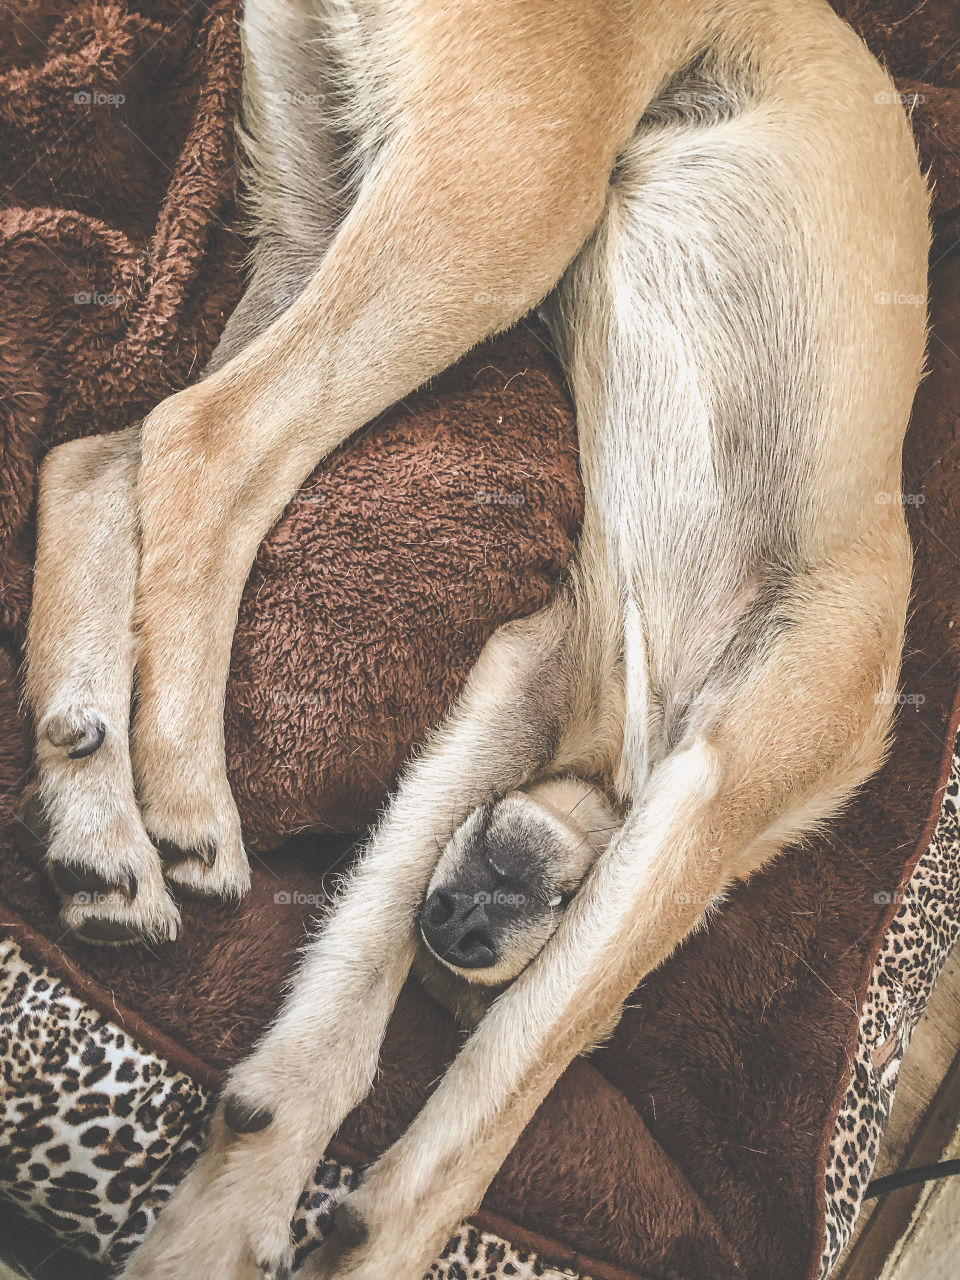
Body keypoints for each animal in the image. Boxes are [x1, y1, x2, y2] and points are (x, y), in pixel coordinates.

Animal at [18, 0, 926, 1274]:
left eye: (473, 952)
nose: (459, 926)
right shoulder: (713, 793)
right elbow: (506, 1087)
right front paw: (370, 1234)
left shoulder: (507, 697)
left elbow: (351, 989)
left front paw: (228, 1209)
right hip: (491, 215)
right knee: (209, 438)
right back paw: (187, 789)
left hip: (319, 212)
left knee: (103, 450)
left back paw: (97, 815)